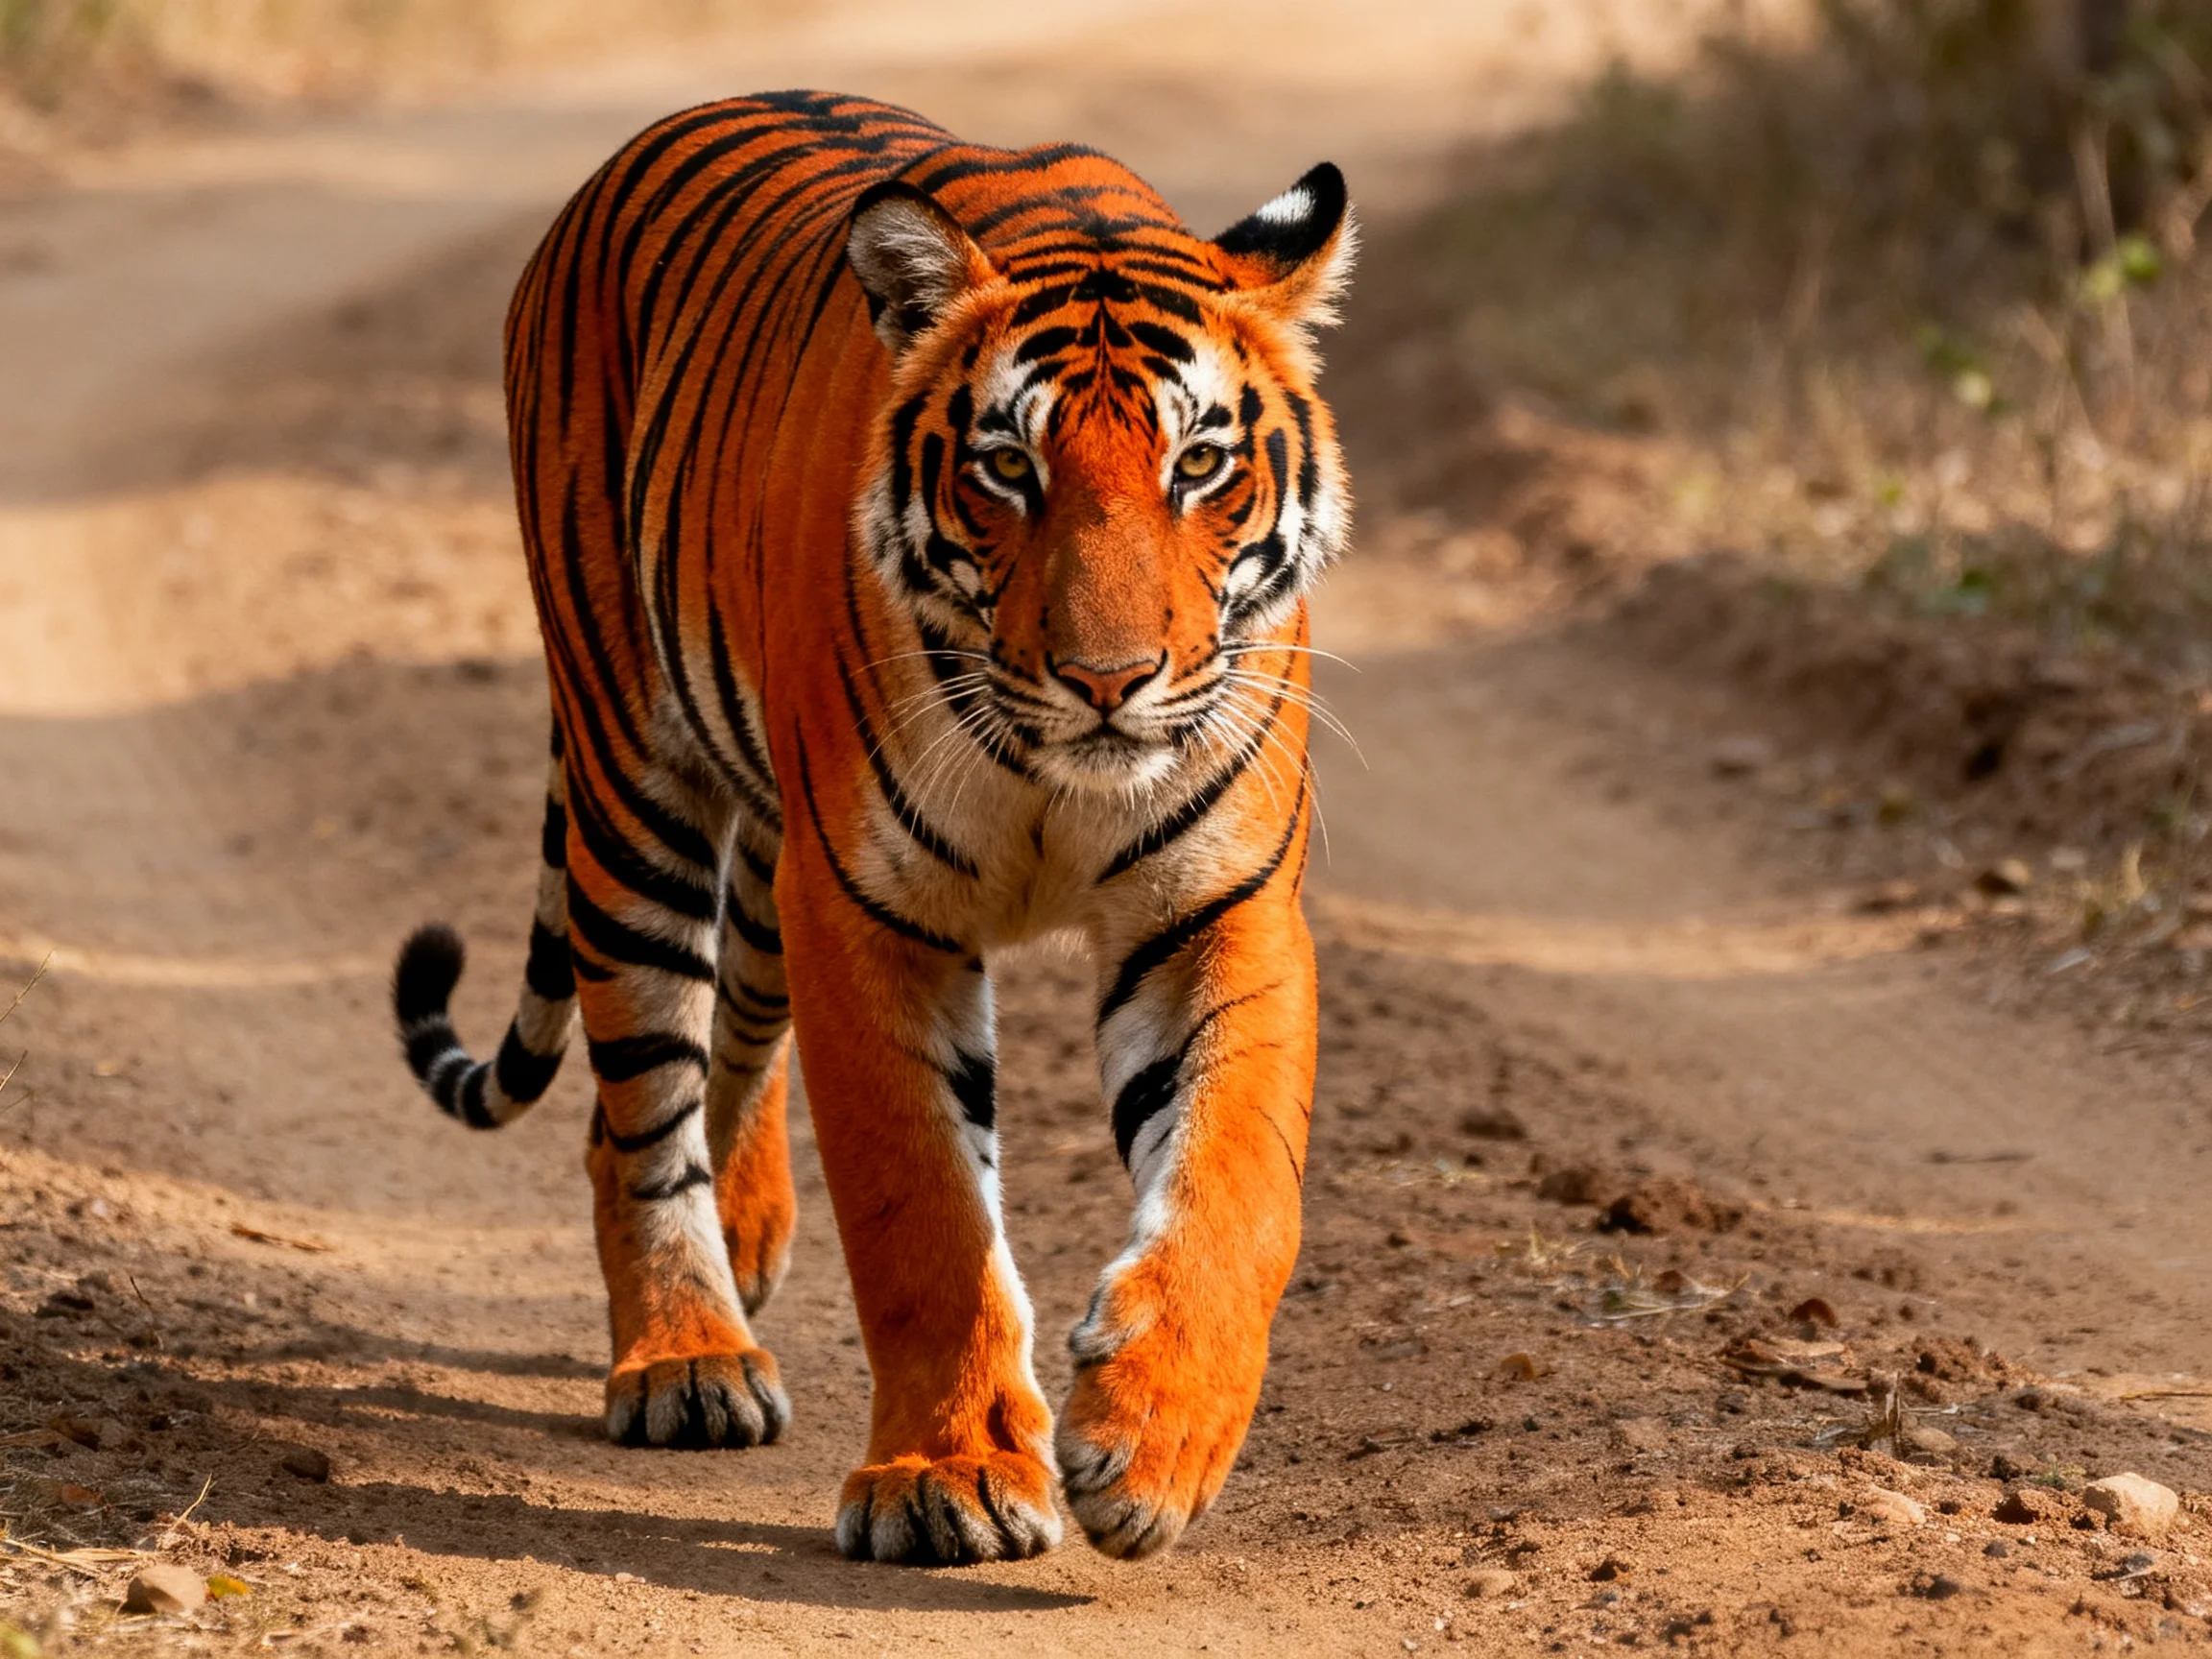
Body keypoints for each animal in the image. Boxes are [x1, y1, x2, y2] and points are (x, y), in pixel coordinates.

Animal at [391, 89, 1351, 1566]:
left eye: (1200, 464)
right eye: (1008, 467)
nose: (1109, 679)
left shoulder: (1216, 909)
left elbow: (1238, 1186)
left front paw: (1153, 1446)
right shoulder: (868, 911)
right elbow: (925, 1221)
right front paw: (947, 1480)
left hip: (767, 858)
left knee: (721, 1043)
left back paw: (743, 1244)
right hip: (634, 781)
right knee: (640, 1099)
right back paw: (687, 1356)